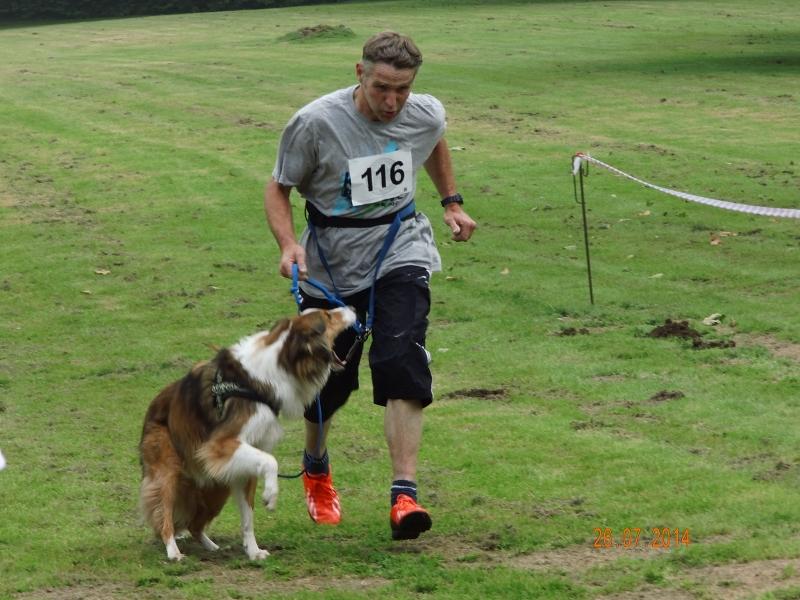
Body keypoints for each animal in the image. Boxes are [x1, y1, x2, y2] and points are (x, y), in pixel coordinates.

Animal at [139, 306, 356, 561]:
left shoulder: (246, 459)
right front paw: (271, 495)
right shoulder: (220, 445)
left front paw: (253, 551)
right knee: (164, 513)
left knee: (194, 525)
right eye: (328, 316)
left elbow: (248, 516)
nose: (352, 308)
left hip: (216, 483)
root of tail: (152, 408)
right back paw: (173, 551)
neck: (281, 363)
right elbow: (271, 462)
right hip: (169, 473)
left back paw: (211, 546)